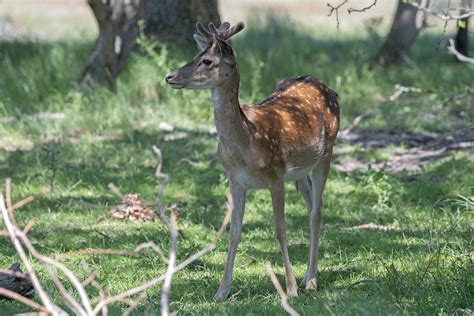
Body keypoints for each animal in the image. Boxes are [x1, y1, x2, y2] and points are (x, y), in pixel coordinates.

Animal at [165, 21, 338, 298]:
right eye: (196, 55)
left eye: (207, 61)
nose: (170, 76)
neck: (247, 141)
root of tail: (330, 89)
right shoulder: (235, 180)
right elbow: (234, 232)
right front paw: (222, 291)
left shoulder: (275, 175)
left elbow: (280, 230)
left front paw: (290, 289)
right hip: (300, 172)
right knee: (314, 204)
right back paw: (311, 275)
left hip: (327, 151)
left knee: (315, 213)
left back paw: (310, 282)